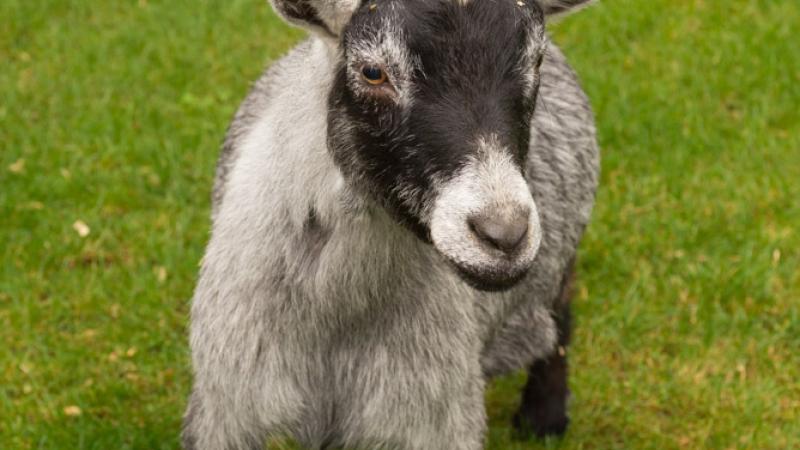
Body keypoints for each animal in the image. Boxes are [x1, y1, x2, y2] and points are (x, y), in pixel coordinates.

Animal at [186, 0, 600, 448]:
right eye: (373, 72)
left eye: (535, 60)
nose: (505, 233)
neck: (338, 318)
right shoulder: (225, 408)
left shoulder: (434, 416)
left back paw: (545, 415)